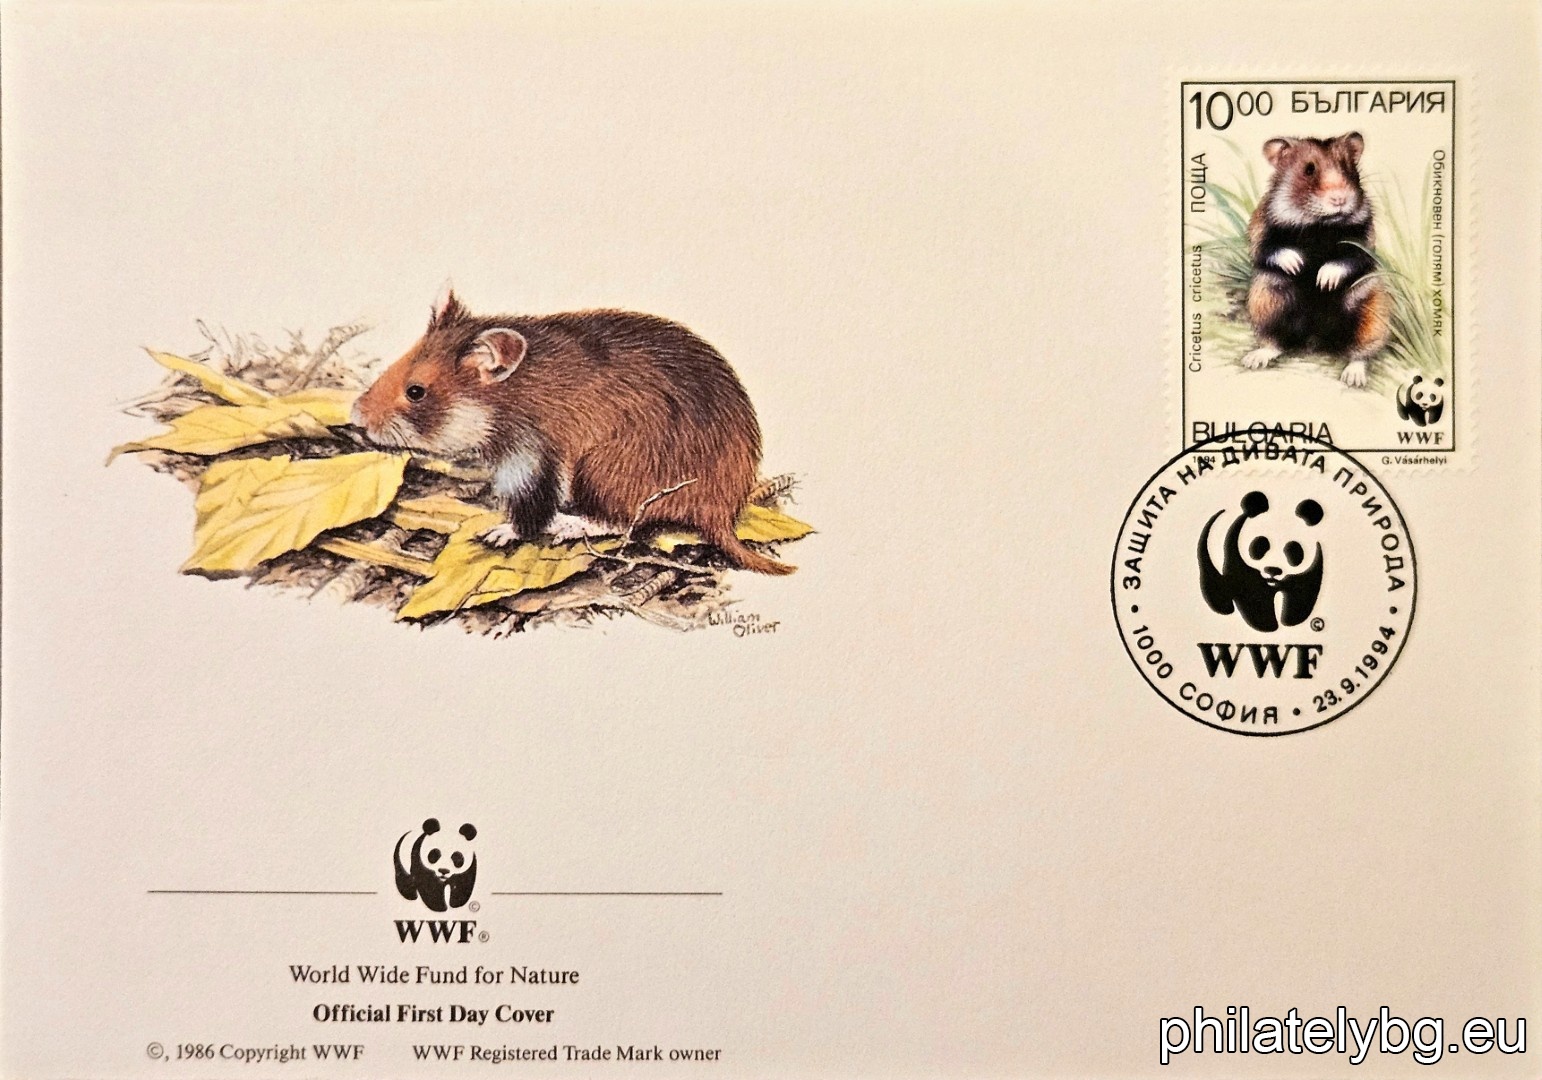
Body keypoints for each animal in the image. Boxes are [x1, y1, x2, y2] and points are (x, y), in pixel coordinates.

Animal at [352, 288, 794, 575]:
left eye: (416, 391)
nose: (355, 416)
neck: (511, 393)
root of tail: (723, 511)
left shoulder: (530, 457)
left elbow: (529, 511)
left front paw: (498, 533)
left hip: (603, 470)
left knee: (622, 523)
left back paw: (568, 525)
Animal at [1240, 132, 1389, 387]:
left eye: (1347, 167)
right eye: (1309, 170)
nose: (1339, 199)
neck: (1319, 224)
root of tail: (1315, 339)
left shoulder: (1363, 239)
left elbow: (1349, 258)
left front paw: (1323, 280)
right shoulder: (1260, 229)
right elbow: (1269, 249)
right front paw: (1297, 264)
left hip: (1372, 313)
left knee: (1360, 351)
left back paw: (1354, 377)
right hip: (1266, 301)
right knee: (1275, 341)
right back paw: (1254, 359)